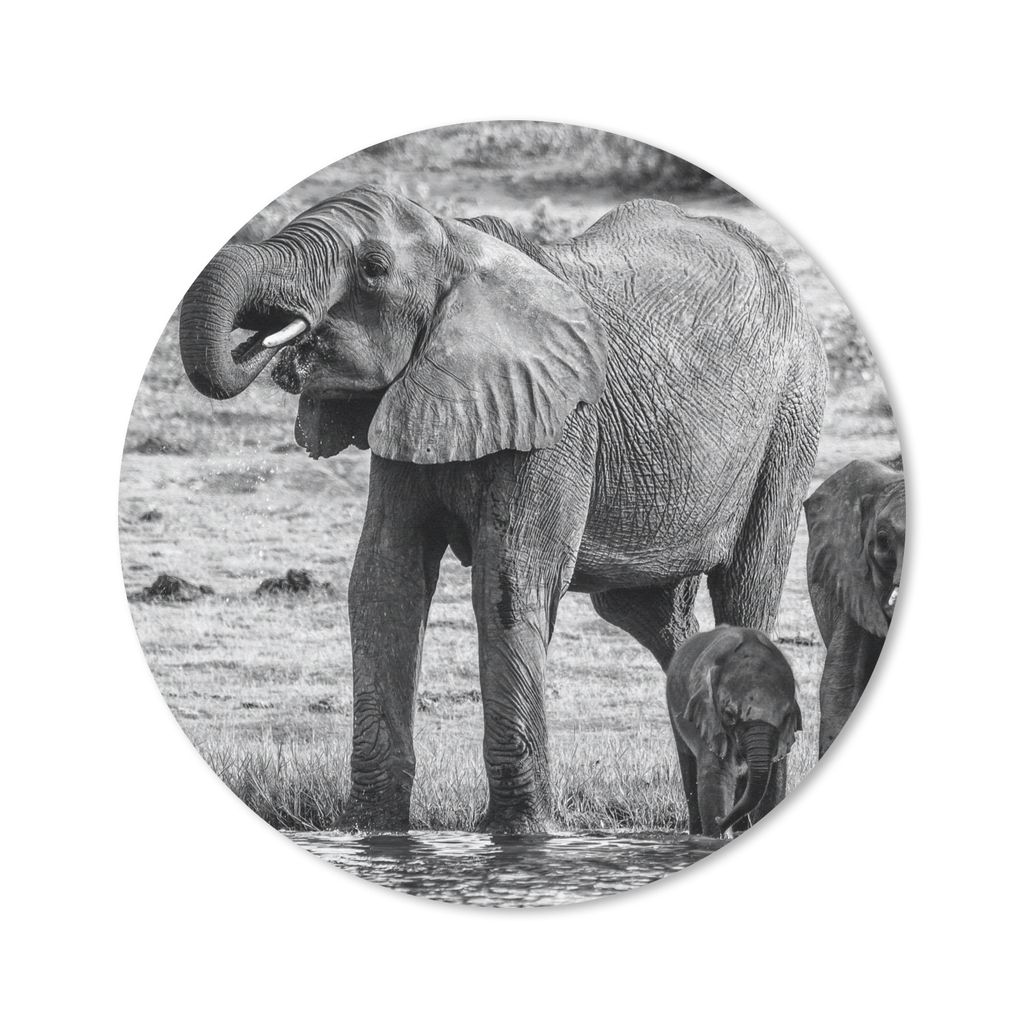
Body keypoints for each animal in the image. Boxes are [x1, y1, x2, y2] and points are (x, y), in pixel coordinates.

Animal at [666, 626, 802, 837]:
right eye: (729, 714)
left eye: (786, 716)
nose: (719, 820)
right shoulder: (710, 718)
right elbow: (718, 773)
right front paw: (718, 837)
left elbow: (775, 778)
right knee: (688, 763)